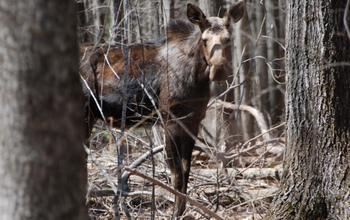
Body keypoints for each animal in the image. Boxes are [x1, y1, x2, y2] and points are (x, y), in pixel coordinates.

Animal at [80, 1, 245, 217]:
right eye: (204, 39)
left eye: (227, 39)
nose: (218, 70)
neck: (197, 78)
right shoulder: (170, 119)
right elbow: (176, 174)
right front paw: (175, 213)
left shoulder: (193, 121)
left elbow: (186, 171)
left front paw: (181, 211)